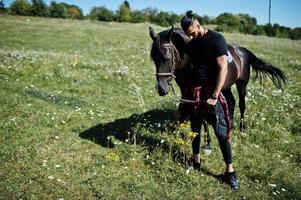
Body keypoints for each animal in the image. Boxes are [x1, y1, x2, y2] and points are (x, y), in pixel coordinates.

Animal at [149, 26, 284, 131]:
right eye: (154, 58)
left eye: (167, 56)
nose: (161, 89)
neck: (190, 61)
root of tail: (243, 51)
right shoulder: (185, 90)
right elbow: (183, 110)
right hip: (225, 86)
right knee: (231, 102)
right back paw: (230, 124)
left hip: (242, 84)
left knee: (241, 104)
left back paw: (241, 128)